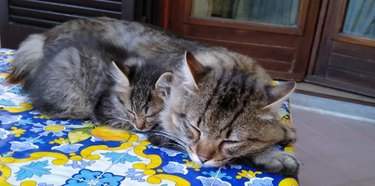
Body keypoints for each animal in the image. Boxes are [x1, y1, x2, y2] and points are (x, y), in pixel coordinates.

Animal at [8, 16, 302, 175]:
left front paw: (283, 132)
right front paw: (275, 155)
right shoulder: (164, 133)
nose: (203, 157)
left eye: (231, 139)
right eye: (194, 129)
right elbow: (246, 154)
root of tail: (43, 36)